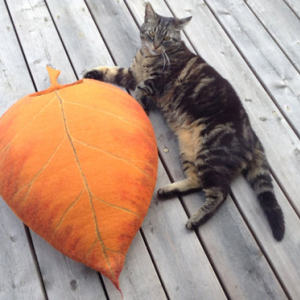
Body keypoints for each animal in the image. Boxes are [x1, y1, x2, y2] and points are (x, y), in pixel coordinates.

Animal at [83, 2, 284, 241]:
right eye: (152, 34)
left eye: (166, 38)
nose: (156, 46)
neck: (148, 56)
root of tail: (251, 133)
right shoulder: (131, 74)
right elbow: (111, 70)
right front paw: (91, 73)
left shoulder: (156, 82)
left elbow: (141, 89)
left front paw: (141, 105)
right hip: (189, 152)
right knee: (197, 181)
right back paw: (168, 191)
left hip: (210, 154)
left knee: (219, 193)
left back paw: (196, 219)